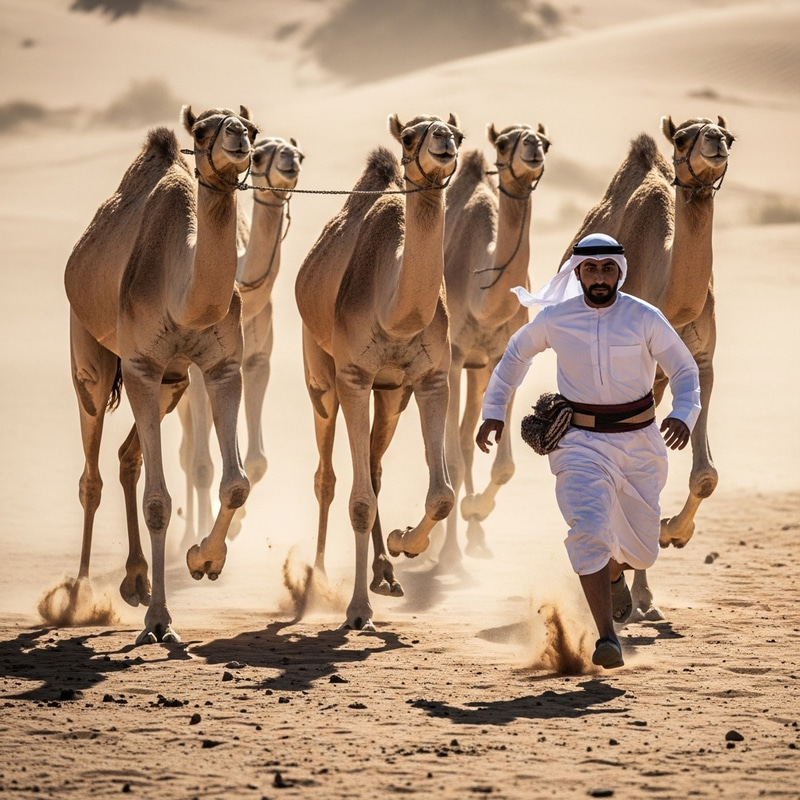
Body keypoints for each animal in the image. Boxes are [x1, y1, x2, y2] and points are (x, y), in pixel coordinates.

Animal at [64, 105, 258, 643]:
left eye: (251, 127)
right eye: (204, 129)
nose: (238, 135)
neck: (183, 294)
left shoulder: (221, 366)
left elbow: (236, 483)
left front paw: (203, 560)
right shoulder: (141, 366)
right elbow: (158, 502)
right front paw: (159, 622)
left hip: (173, 384)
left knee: (126, 457)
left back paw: (135, 580)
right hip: (91, 355)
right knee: (91, 473)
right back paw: (78, 595)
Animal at [177, 135, 304, 546]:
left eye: (298, 152)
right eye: (259, 155)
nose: (290, 162)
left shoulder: (258, 359)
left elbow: (257, 461)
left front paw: (235, 523)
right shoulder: (197, 371)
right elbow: (202, 464)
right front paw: (206, 536)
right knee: (188, 452)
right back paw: (187, 534)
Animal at [294, 113, 463, 630]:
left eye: (458, 134)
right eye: (410, 136)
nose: (443, 142)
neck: (395, 314)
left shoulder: (430, 379)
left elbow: (443, 494)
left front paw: (404, 540)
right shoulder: (353, 376)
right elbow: (359, 501)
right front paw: (356, 611)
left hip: (392, 394)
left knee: (373, 466)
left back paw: (386, 573)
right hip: (320, 373)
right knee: (327, 477)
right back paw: (317, 578)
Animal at [562, 115, 734, 620]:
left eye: (728, 135)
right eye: (681, 137)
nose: (715, 142)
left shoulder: (701, 360)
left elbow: (705, 474)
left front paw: (672, 532)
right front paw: (667, 533)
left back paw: (643, 595)